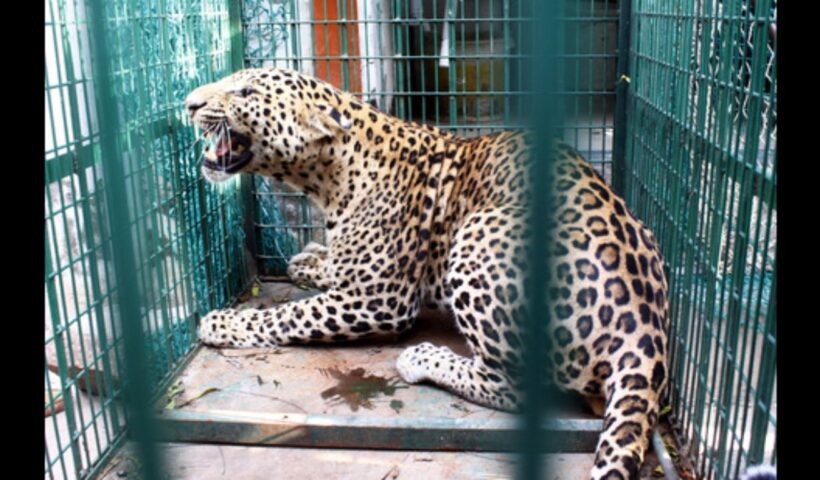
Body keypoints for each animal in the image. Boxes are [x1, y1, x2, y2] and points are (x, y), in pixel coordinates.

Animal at [185, 67, 669, 480]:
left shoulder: (377, 301)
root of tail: (647, 332)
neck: (328, 176)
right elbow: (322, 270)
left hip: (477, 234)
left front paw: (221, 322)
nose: (189, 104)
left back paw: (423, 358)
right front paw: (307, 260)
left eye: (246, 92)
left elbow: (287, 315)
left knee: (523, 388)